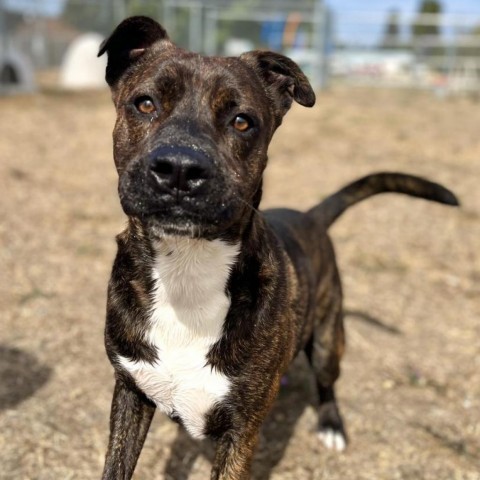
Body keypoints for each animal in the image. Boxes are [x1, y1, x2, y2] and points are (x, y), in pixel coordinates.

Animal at [96, 15, 458, 480]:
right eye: (144, 103)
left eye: (242, 121)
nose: (179, 169)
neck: (187, 269)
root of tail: (311, 216)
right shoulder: (130, 390)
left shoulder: (241, 430)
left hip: (329, 339)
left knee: (326, 380)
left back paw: (331, 424)